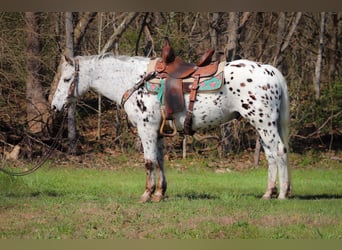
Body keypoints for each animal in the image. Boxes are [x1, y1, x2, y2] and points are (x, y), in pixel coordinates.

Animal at [51, 53, 292, 202]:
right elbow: (160, 161)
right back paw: (269, 193)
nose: (55, 106)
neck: (134, 80)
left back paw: (282, 194)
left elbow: (149, 162)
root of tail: (270, 71)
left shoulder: (146, 129)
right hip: (262, 126)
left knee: (279, 151)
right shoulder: (157, 132)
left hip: (264, 123)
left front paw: (147, 194)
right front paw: (160, 193)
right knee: (271, 155)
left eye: (67, 79)